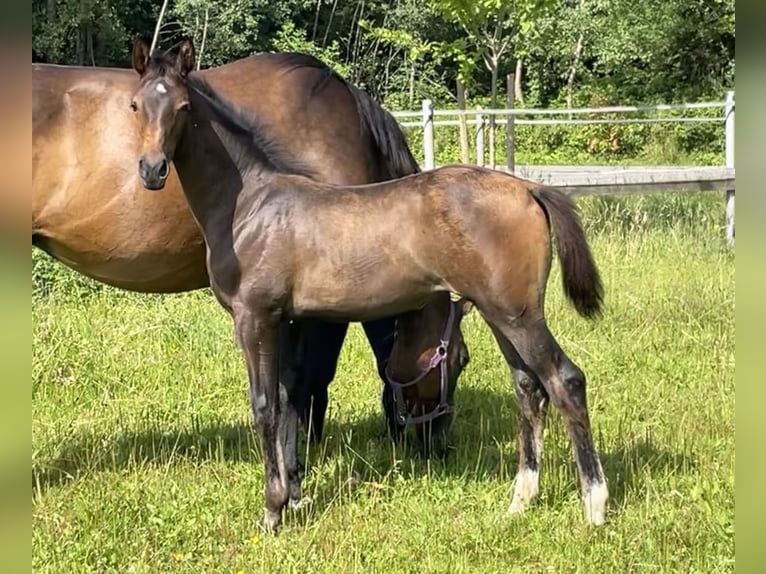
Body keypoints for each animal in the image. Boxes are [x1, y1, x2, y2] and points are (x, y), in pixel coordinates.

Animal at [129, 41, 612, 536]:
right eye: (135, 105)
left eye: (183, 108)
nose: (152, 170)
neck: (250, 203)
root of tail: (529, 189)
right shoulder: (288, 320)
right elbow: (287, 400)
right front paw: (292, 499)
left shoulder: (255, 317)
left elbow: (264, 406)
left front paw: (271, 511)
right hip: (501, 313)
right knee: (528, 387)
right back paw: (521, 500)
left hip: (517, 314)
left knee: (564, 381)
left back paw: (595, 505)